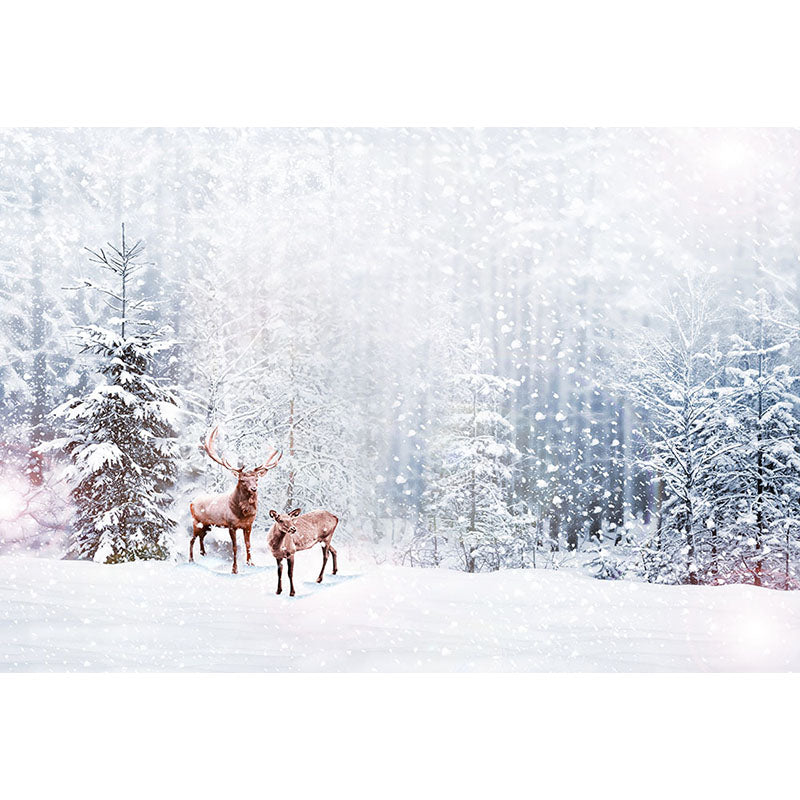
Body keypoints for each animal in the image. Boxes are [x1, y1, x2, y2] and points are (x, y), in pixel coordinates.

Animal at [189, 427, 282, 574]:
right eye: (242, 480)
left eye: (256, 479)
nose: (254, 488)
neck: (242, 514)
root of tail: (192, 502)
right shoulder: (231, 525)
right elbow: (234, 547)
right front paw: (234, 569)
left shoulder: (249, 525)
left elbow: (248, 544)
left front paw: (251, 563)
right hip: (196, 521)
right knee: (191, 539)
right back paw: (191, 560)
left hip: (207, 525)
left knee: (201, 537)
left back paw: (203, 554)